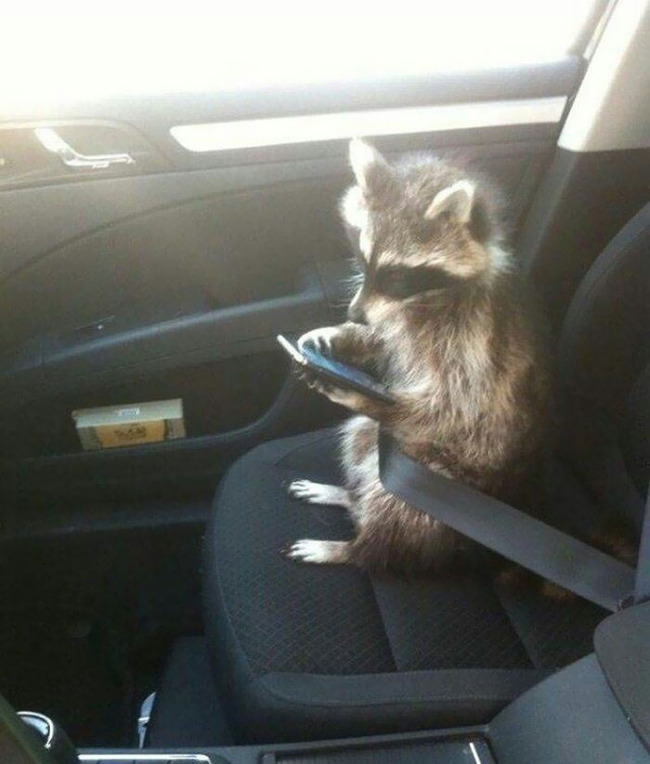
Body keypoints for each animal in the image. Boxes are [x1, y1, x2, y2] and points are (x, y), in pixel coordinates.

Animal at [285, 139, 552, 574]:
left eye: (397, 276)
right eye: (362, 259)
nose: (353, 314)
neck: (422, 297)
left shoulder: (472, 336)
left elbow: (451, 406)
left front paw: (360, 392)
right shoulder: (397, 319)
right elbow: (384, 340)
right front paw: (342, 335)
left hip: (440, 482)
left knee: (396, 508)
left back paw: (355, 548)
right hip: (381, 446)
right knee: (359, 437)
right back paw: (348, 496)